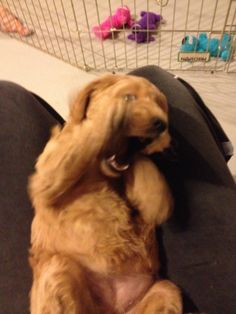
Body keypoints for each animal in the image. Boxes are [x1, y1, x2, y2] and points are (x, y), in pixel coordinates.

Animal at [28, 75, 183, 312]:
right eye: (129, 96)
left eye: (159, 104)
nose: (161, 124)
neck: (102, 174)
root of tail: (112, 309)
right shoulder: (47, 175)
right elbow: (85, 134)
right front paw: (111, 114)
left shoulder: (154, 203)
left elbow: (154, 193)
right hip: (58, 269)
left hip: (164, 290)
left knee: (166, 290)